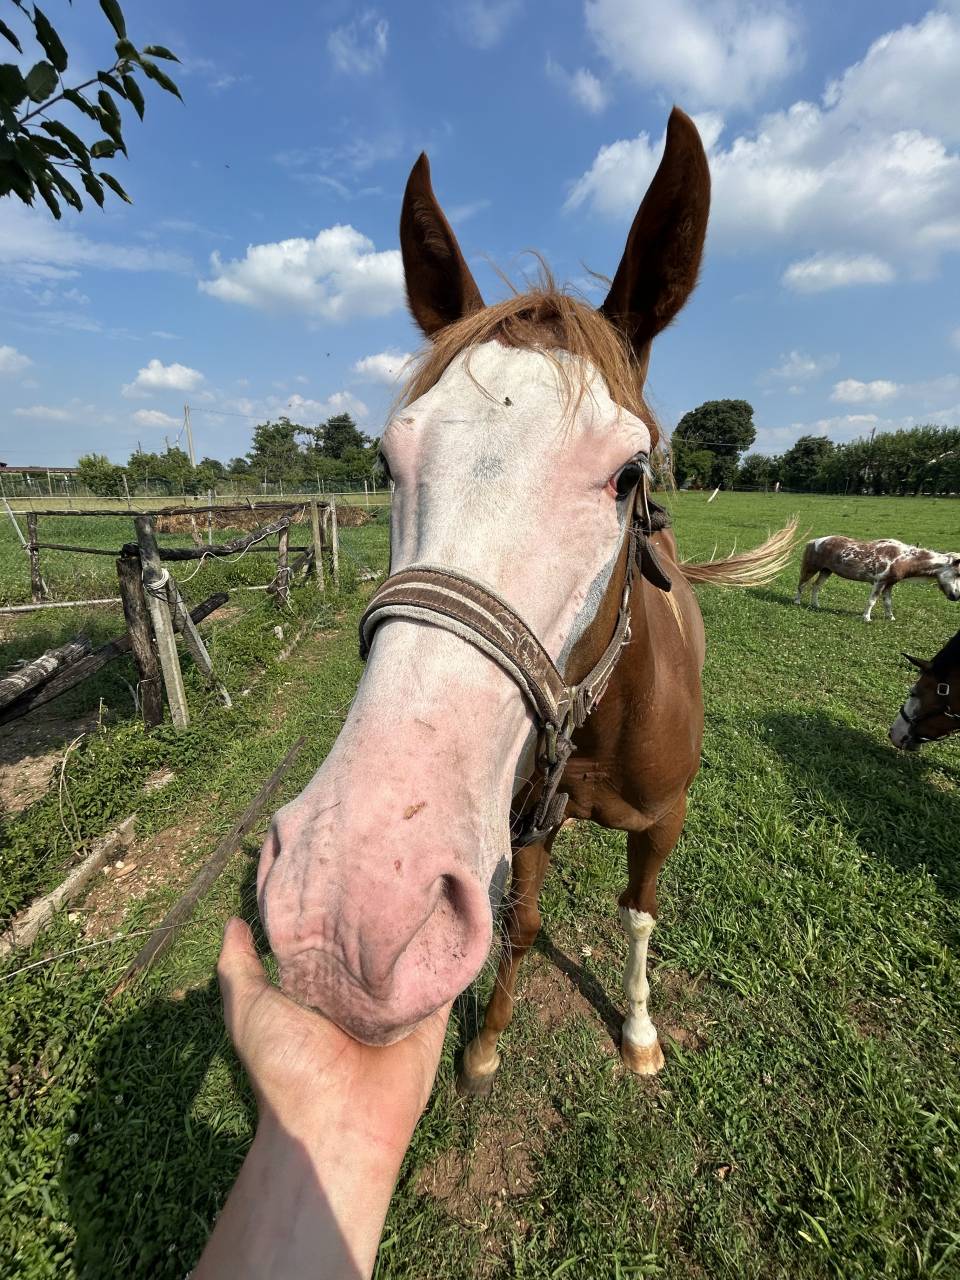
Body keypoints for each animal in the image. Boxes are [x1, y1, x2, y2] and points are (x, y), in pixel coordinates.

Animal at [256, 108, 796, 1094]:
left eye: (630, 475)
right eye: (388, 461)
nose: (349, 904)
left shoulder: (666, 822)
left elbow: (638, 914)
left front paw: (639, 1032)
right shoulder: (525, 825)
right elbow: (524, 922)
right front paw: (483, 1045)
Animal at [795, 536, 960, 622]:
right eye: (958, 574)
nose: (956, 596)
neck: (903, 559)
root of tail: (814, 541)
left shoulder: (889, 584)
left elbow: (887, 602)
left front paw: (890, 617)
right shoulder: (879, 582)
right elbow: (872, 601)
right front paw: (866, 618)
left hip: (826, 571)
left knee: (816, 586)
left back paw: (816, 605)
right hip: (811, 568)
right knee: (802, 584)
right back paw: (797, 601)